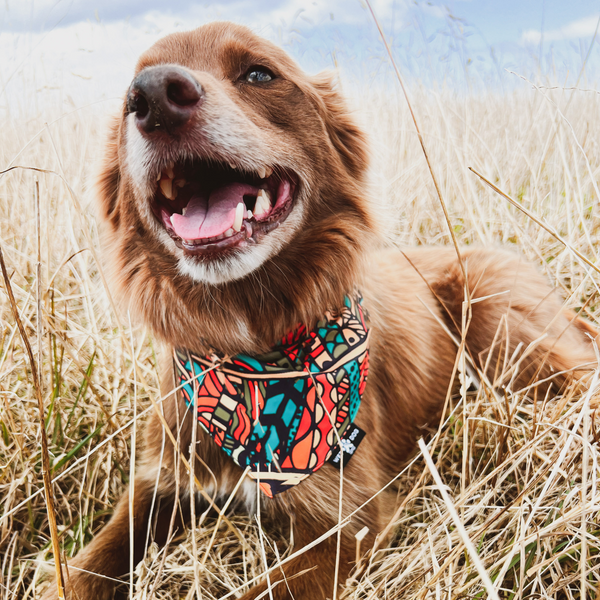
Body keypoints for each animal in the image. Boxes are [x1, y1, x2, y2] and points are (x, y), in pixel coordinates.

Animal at [41, 21, 596, 600]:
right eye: (128, 97)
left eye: (259, 73)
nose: (151, 96)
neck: (252, 356)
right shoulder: (160, 480)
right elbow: (80, 571)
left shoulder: (344, 524)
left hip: (498, 315)